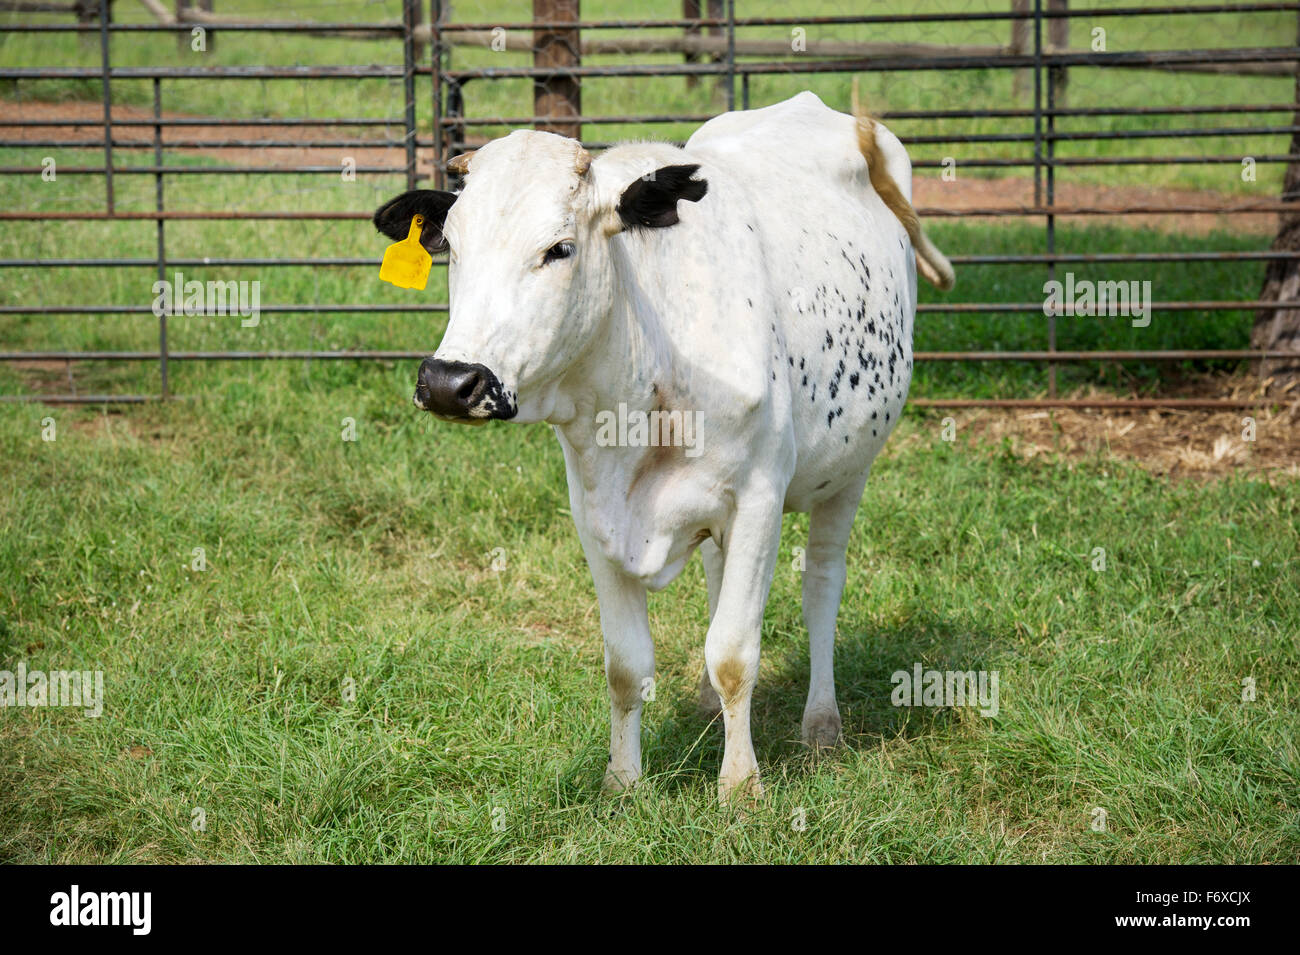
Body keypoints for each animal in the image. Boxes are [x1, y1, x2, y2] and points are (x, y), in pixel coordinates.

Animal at [373, 91, 954, 802]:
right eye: (451, 246)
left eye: (560, 247)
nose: (450, 382)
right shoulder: (593, 512)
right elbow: (626, 664)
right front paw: (623, 781)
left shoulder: (759, 498)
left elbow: (735, 652)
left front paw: (740, 786)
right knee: (717, 577)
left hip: (849, 472)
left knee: (821, 585)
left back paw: (821, 723)